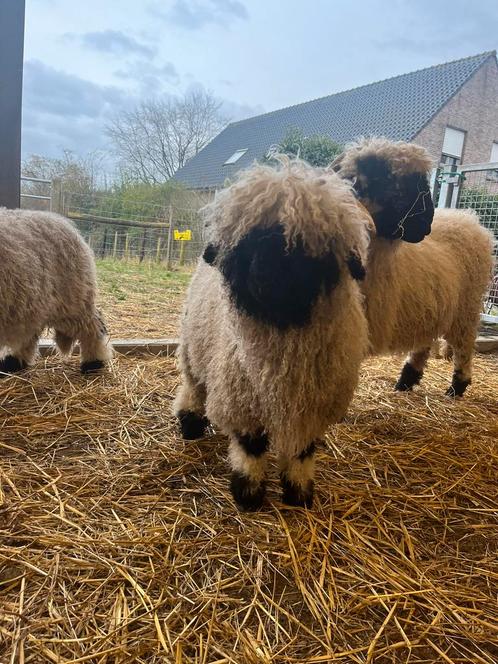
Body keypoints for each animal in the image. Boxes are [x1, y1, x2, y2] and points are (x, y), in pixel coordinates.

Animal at [0, 208, 113, 374]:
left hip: (71, 300)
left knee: (92, 326)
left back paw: (93, 363)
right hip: (32, 302)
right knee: (30, 335)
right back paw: (13, 362)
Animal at [173, 158, 372, 510]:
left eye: (309, 244)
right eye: (248, 240)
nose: (267, 277)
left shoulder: (314, 405)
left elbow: (303, 449)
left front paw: (299, 492)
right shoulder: (243, 399)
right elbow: (250, 446)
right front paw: (248, 493)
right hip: (192, 349)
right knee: (193, 386)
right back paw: (191, 424)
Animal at [330, 135, 494, 394]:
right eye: (397, 184)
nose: (427, 222)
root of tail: (470, 219)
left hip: (466, 308)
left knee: (463, 347)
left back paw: (458, 385)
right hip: (433, 305)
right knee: (425, 342)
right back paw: (407, 379)